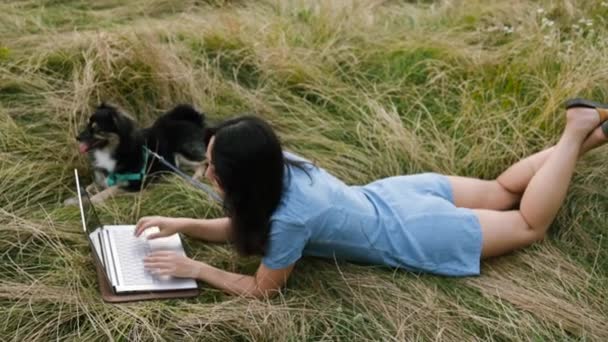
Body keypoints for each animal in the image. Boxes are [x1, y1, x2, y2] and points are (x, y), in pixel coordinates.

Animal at [64, 103, 207, 204]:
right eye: (87, 125)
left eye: (96, 128)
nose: (77, 137)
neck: (111, 150)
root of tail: (192, 121)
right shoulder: (101, 179)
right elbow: (88, 188)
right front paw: (74, 199)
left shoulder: (135, 184)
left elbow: (111, 189)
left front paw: (92, 200)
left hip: (182, 153)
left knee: (204, 162)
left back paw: (196, 178)